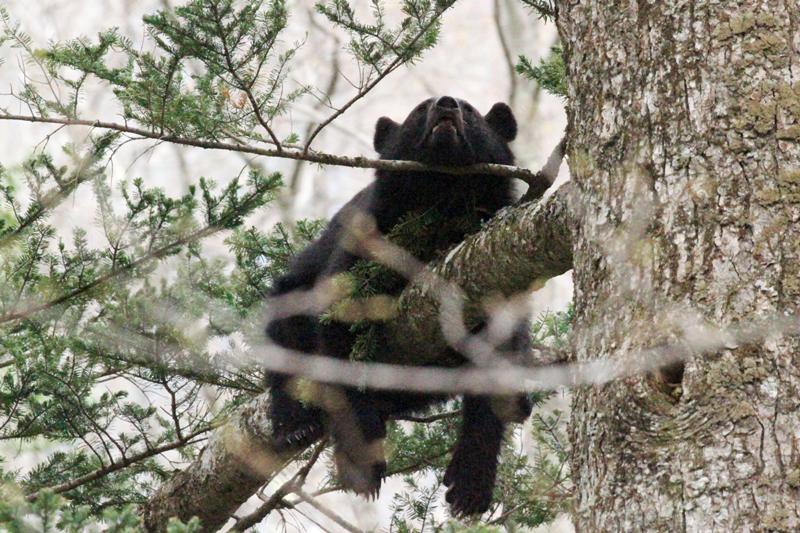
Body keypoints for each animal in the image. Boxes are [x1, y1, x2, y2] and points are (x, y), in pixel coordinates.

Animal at [268, 95, 532, 516]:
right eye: (420, 109)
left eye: (470, 110)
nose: (446, 104)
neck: (440, 197)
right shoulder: (371, 237)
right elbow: (341, 329)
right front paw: (363, 464)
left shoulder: (494, 273)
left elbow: (495, 364)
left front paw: (470, 485)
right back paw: (294, 425)